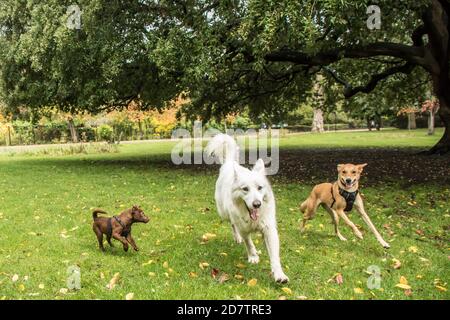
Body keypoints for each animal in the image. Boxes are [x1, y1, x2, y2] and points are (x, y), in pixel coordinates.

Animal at [207, 134, 288, 284]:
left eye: (260, 188)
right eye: (245, 189)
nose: (257, 204)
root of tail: (229, 164)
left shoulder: (269, 230)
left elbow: (274, 256)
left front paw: (279, 275)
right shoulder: (243, 229)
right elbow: (248, 243)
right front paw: (253, 256)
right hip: (224, 213)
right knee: (232, 225)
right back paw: (238, 238)